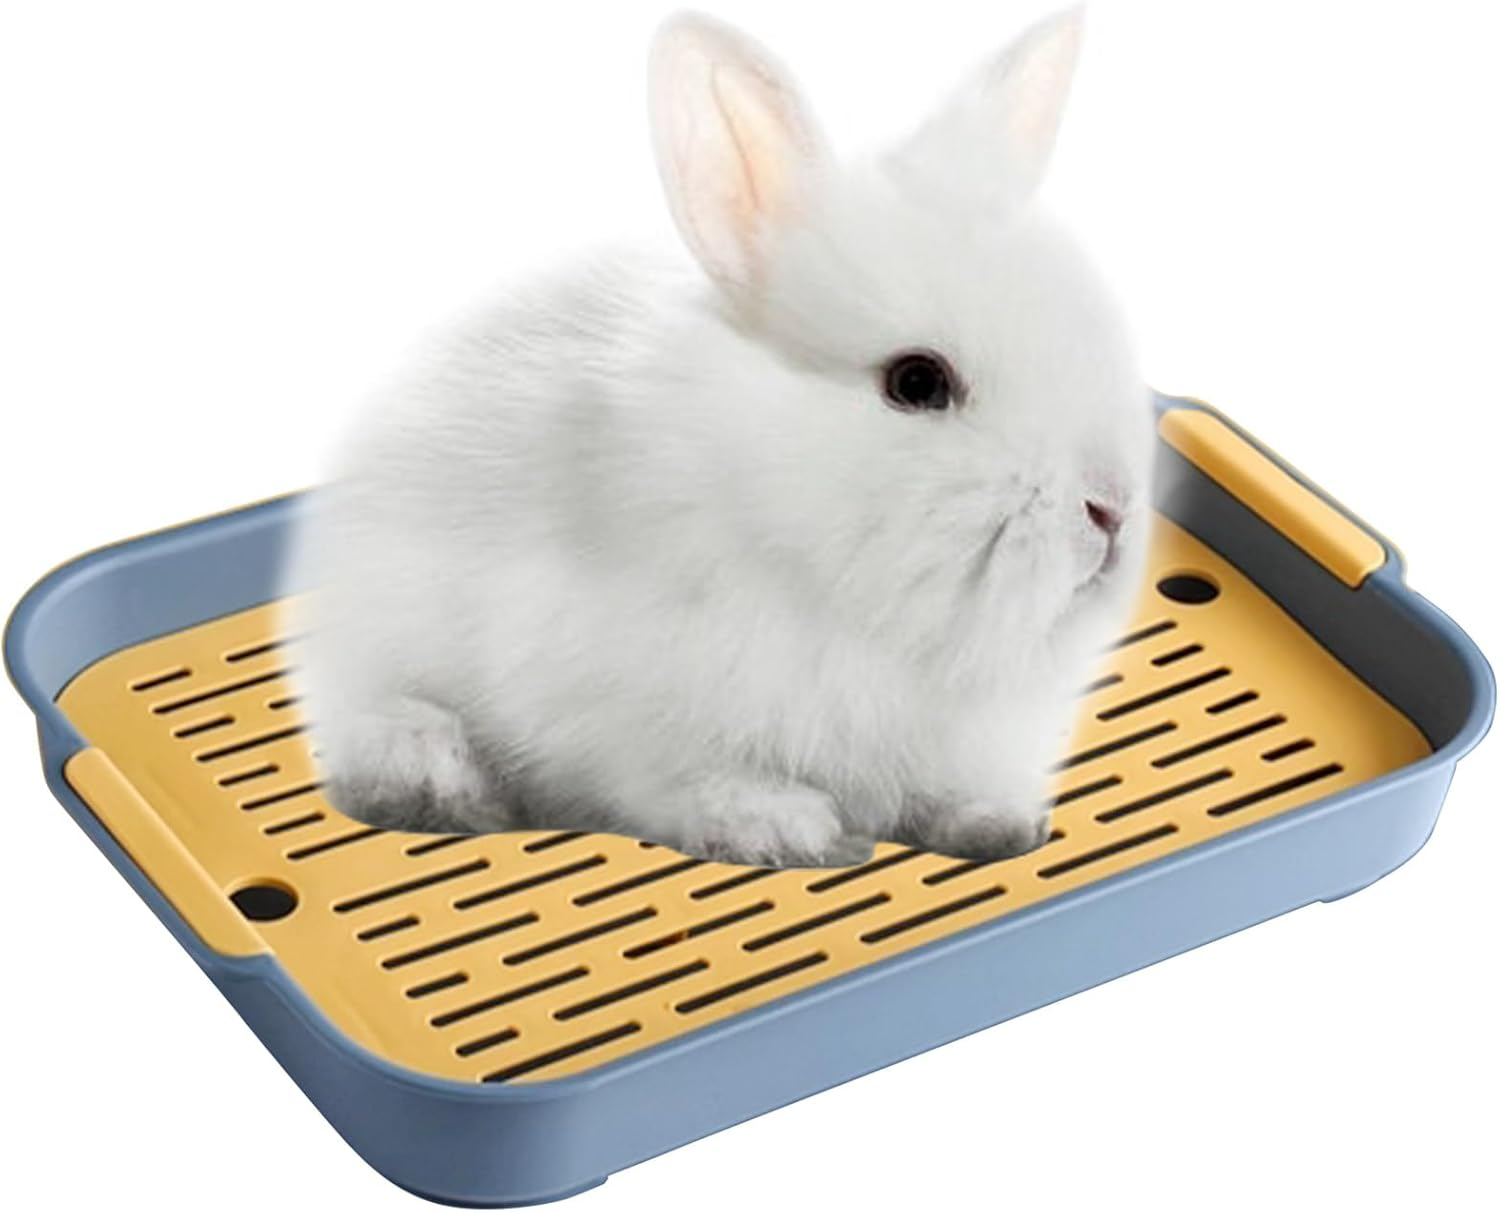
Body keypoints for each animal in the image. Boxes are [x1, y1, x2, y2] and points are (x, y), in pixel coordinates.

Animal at [283, 6, 1155, 869]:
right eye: (917, 382)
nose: (1109, 508)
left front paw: (1002, 824)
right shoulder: (623, 717)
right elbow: (696, 781)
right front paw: (787, 829)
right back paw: (437, 779)